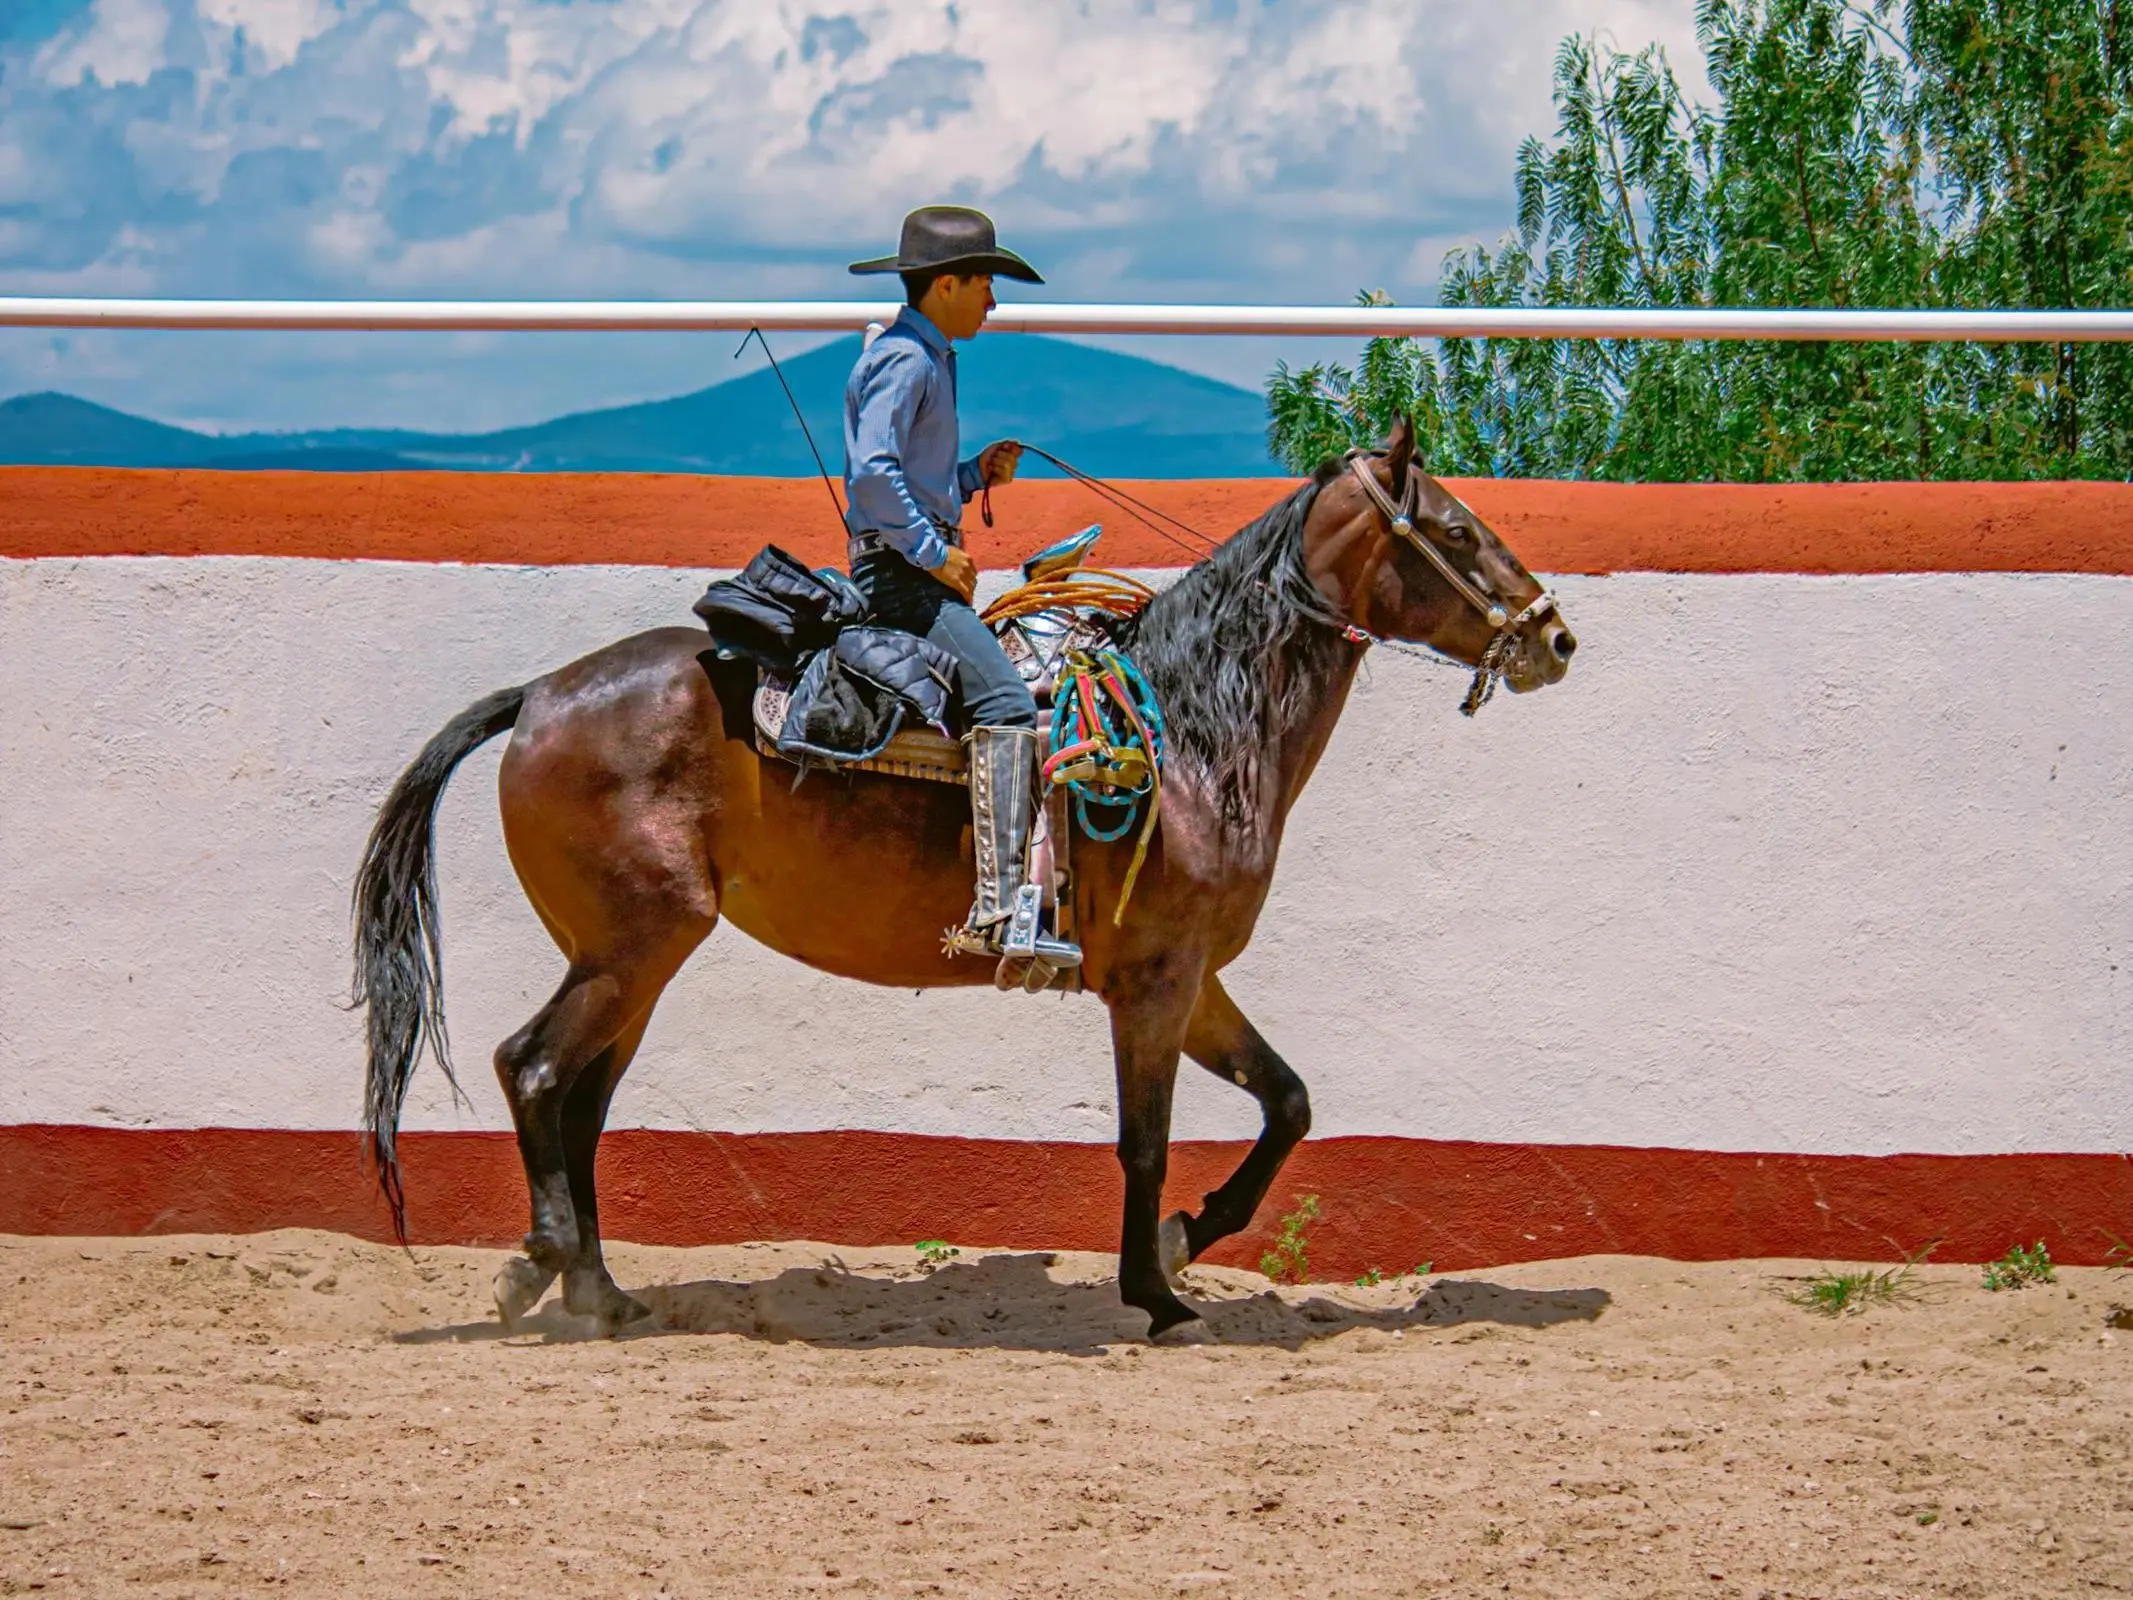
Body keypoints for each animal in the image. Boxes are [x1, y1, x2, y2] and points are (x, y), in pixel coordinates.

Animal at [349, 420, 1578, 1348]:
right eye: (1457, 529)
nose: (1555, 636)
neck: (1189, 734)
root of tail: (542, 697)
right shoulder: (1155, 984)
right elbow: (1146, 1138)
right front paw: (1158, 1292)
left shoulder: (1187, 977)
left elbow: (1287, 1101)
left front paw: (1187, 1235)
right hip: (634, 942)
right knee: (532, 1066)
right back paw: (540, 1263)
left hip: (634, 957)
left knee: (581, 1100)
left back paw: (601, 1293)